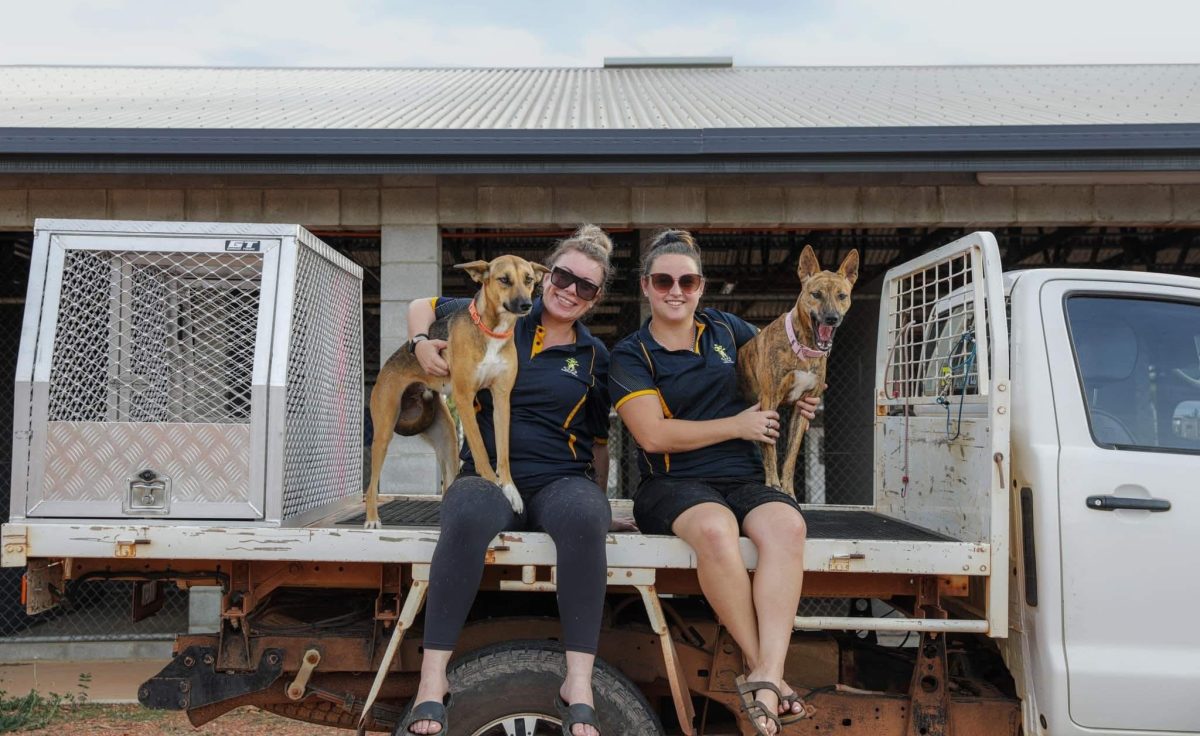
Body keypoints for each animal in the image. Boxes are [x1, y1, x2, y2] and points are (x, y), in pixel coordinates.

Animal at [360, 255, 549, 525]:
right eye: (504, 279)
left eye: (529, 279)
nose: (526, 305)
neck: (492, 331)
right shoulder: (464, 397)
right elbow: (481, 451)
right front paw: (493, 486)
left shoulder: (502, 399)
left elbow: (503, 452)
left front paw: (510, 489)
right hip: (383, 432)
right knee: (371, 484)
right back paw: (373, 519)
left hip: (447, 440)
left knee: (448, 484)